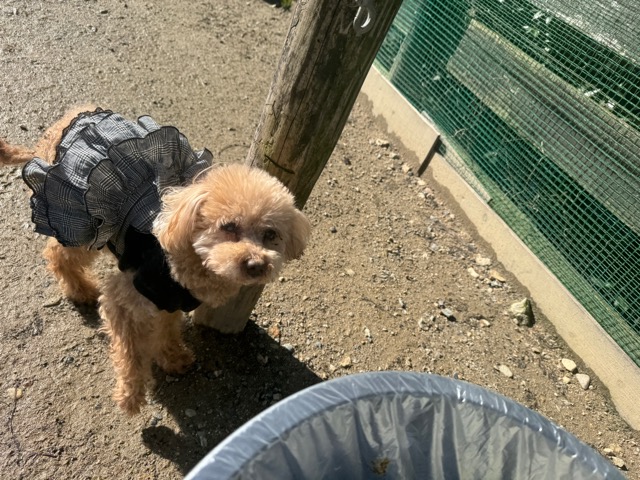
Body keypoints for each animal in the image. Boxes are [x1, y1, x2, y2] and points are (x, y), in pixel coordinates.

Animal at [0, 106, 311, 415]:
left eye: (270, 234)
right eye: (229, 226)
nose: (256, 264)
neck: (186, 263)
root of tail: (63, 122)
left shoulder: (170, 299)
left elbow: (167, 329)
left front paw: (172, 358)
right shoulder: (123, 299)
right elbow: (130, 352)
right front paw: (130, 395)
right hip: (81, 229)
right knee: (57, 254)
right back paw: (79, 289)